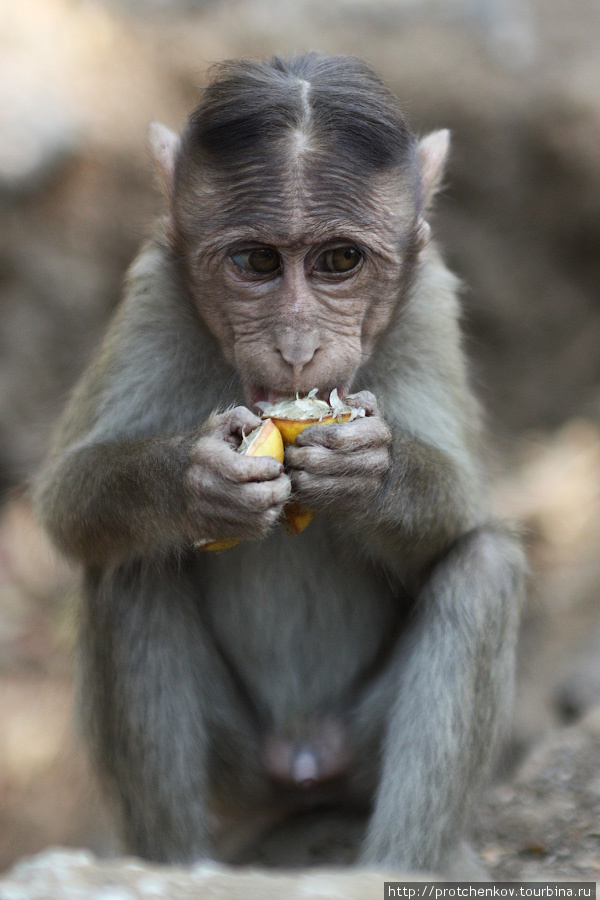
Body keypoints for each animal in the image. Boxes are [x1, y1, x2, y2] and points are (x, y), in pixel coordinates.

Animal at [36, 52, 524, 876]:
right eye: (258, 262)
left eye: (340, 261)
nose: (296, 348)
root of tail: (301, 757)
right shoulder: (153, 293)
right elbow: (69, 508)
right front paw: (195, 481)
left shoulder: (429, 301)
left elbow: (461, 513)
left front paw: (368, 475)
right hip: (240, 771)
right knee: (130, 573)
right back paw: (178, 867)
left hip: (354, 750)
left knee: (484, 568)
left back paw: (397, 867)